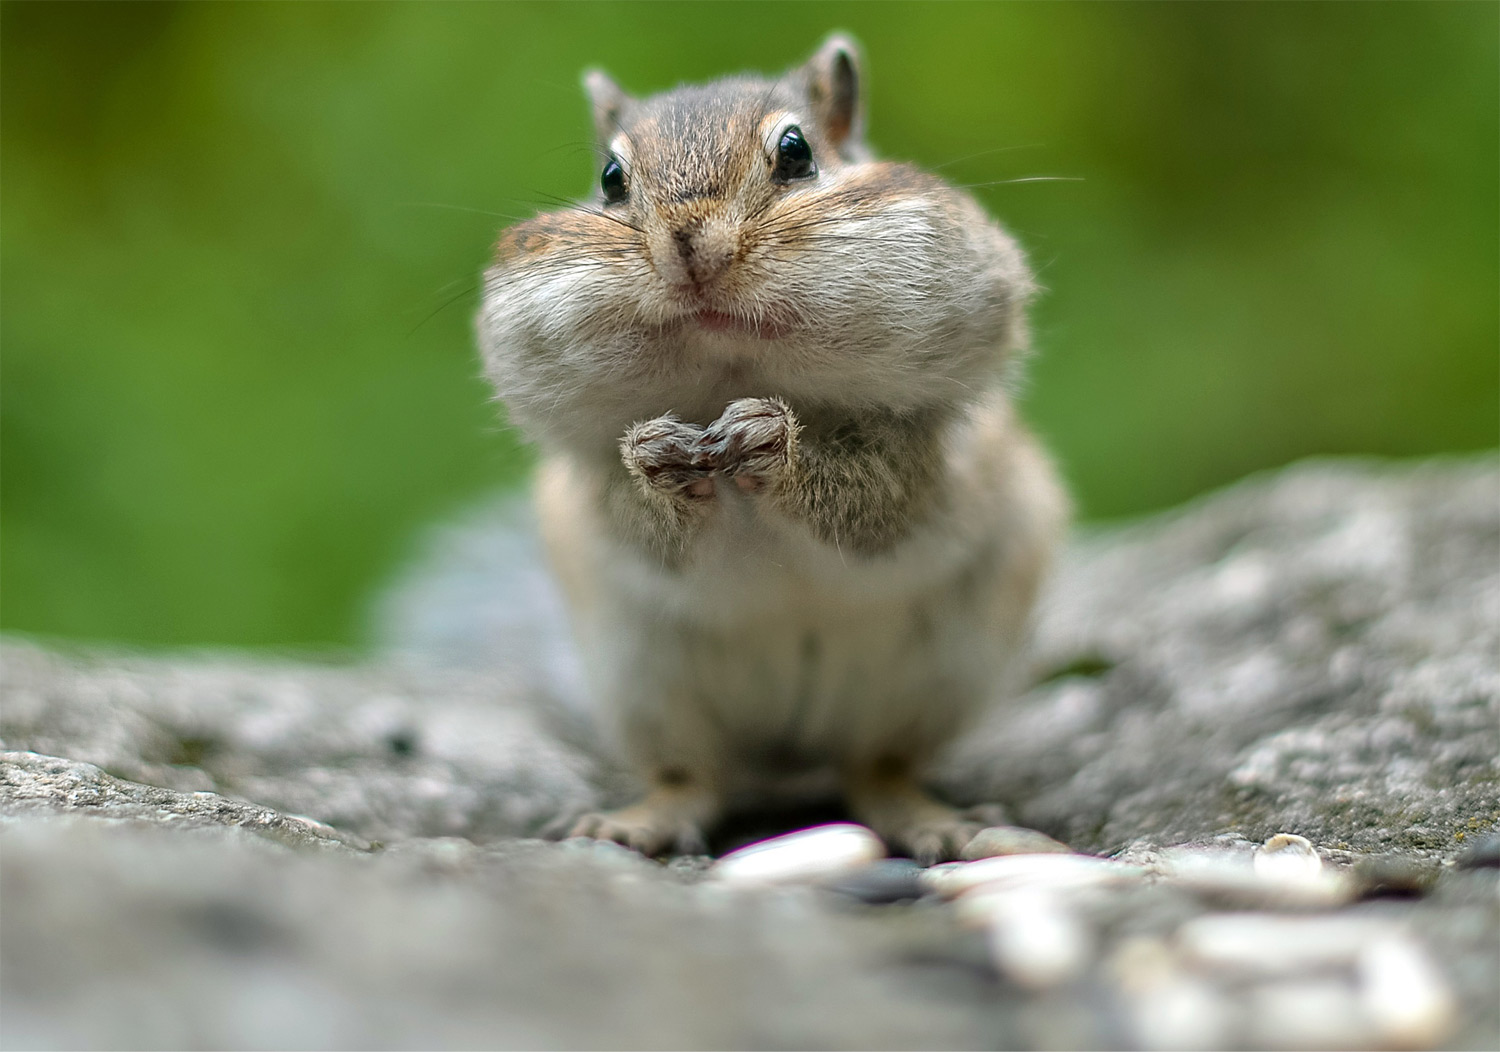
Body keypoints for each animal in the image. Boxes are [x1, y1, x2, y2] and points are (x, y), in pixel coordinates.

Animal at [477, 36, 1068, 864]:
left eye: (796, 152)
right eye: (610, 179)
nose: (689, 243)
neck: (729, 378)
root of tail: (791, 756)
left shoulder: (924, 459)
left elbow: (872, 500)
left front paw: (771, 441)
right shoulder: (586, 490)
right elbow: (635, 519)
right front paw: (655, 456)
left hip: (933, 680)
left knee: (877, 769)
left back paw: (935, 821)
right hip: (645, 686)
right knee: (696, 777)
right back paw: (634, 820)